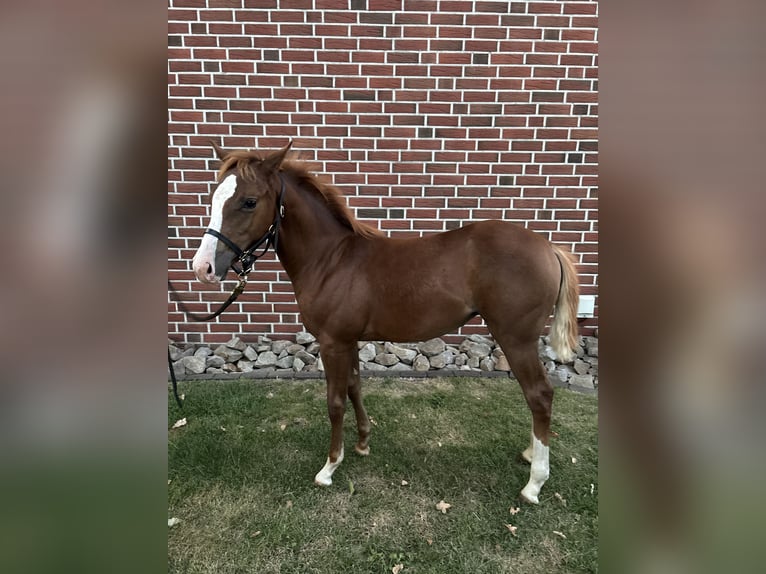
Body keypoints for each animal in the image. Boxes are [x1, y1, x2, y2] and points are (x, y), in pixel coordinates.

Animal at [190, 142, 580, 504]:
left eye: (249, 201)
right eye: (214, 197)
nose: (203, 268)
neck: (332, 260)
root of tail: (548, 248)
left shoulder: (332, 342)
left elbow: (335, 401)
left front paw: (329, 467)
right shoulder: (349, 341)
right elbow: (354, 387)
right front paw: (362, 443)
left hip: (516, 339)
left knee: (539, 395)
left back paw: (534, 483)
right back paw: (530, 454)